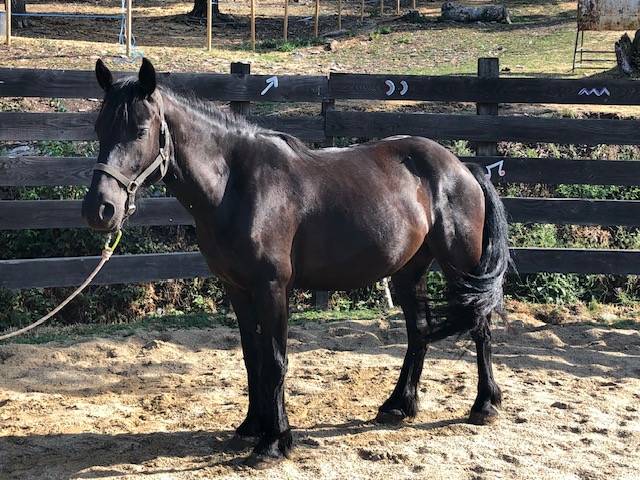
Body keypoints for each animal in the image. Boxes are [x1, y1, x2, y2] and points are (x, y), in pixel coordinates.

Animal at [82, 58, 510, 468]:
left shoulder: (272, 288)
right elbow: (252, 357)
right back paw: (398, 406)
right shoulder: (237, 289)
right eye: (99, 128)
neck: (235, 186)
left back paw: (484, 404)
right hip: (409, 272)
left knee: (480, 325)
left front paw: (275, 442)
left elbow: (275, 361)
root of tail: (462, 168)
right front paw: (251, 427)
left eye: (140, 130)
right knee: (419, 331)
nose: (100, 210)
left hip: (461, 265)